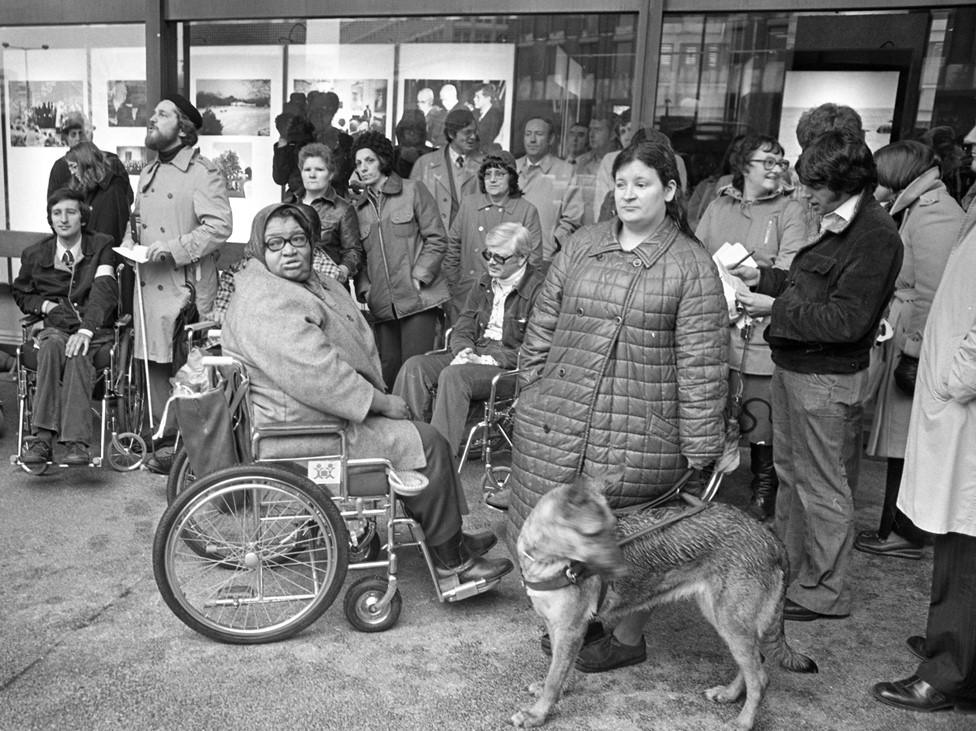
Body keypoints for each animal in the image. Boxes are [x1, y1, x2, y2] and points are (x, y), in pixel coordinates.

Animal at [516, 478, 820, 728]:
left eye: (612, 530)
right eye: (594, 534)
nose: (621, 570)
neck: (546, 560)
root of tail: (769, 536)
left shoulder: (571, 629)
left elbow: (555, 678)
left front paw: (537, 715)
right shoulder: (561, 628)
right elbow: (559, 670)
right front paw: (554, 691)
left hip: (731, 622)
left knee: (760, 678)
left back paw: (743, 722)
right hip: (724, 619)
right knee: (755, 664)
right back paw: (729, 694)